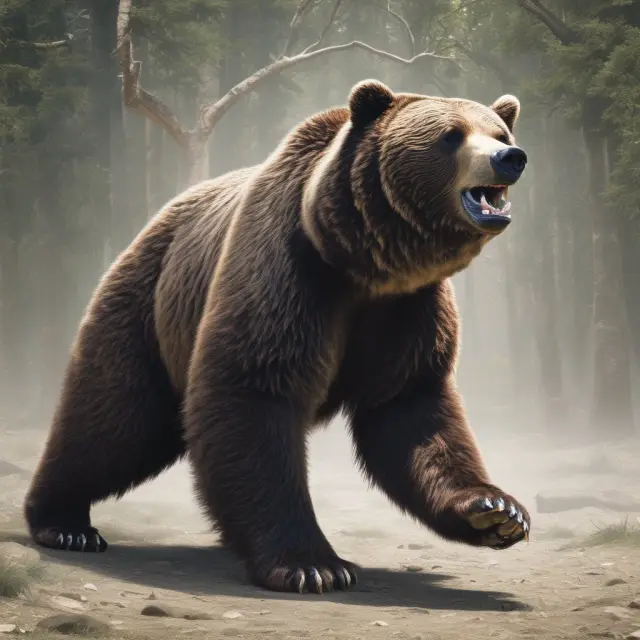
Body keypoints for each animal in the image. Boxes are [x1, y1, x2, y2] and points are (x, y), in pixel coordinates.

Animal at [24, 79, 530, 595]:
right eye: (451, 136)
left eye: (499, 130)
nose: (510, 157)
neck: (362, 263)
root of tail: (157, 218)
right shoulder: (290, 270)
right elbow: (253, 391)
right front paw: (313, 565)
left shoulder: (408, 310)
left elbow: (411, 414)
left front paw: (497, 511)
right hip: (149, 304)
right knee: (114, 418)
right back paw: (64, 523)